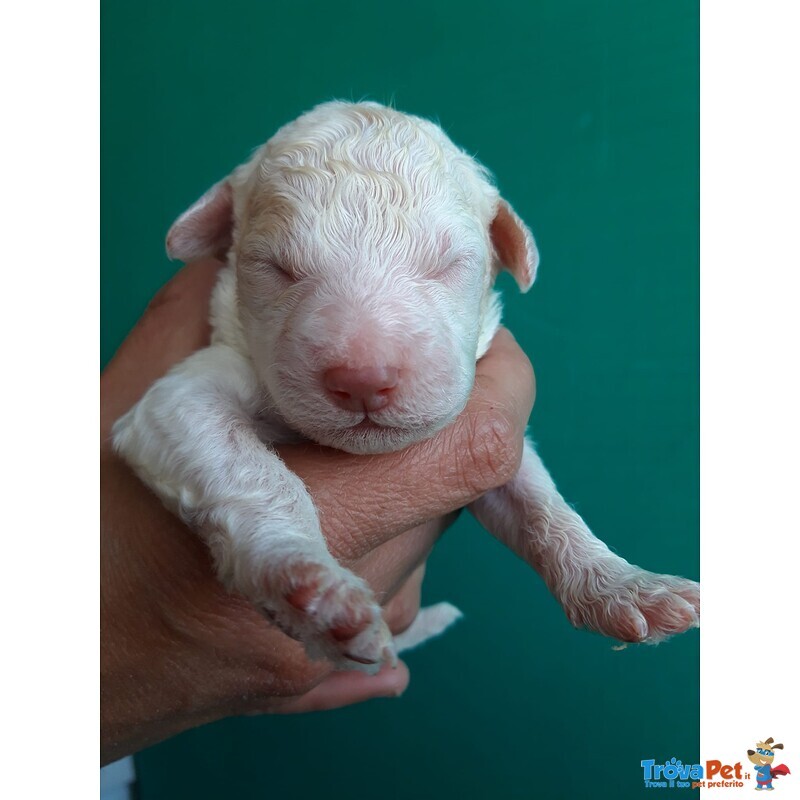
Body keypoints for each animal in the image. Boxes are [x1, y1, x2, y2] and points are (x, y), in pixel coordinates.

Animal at [112, 101, 700, 676]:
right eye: (275, 268)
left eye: (449, 264)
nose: (363, 378)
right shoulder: (182, 398)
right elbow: (254, 474)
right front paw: (316, 589)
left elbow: (538, 501)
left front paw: (622, 585)